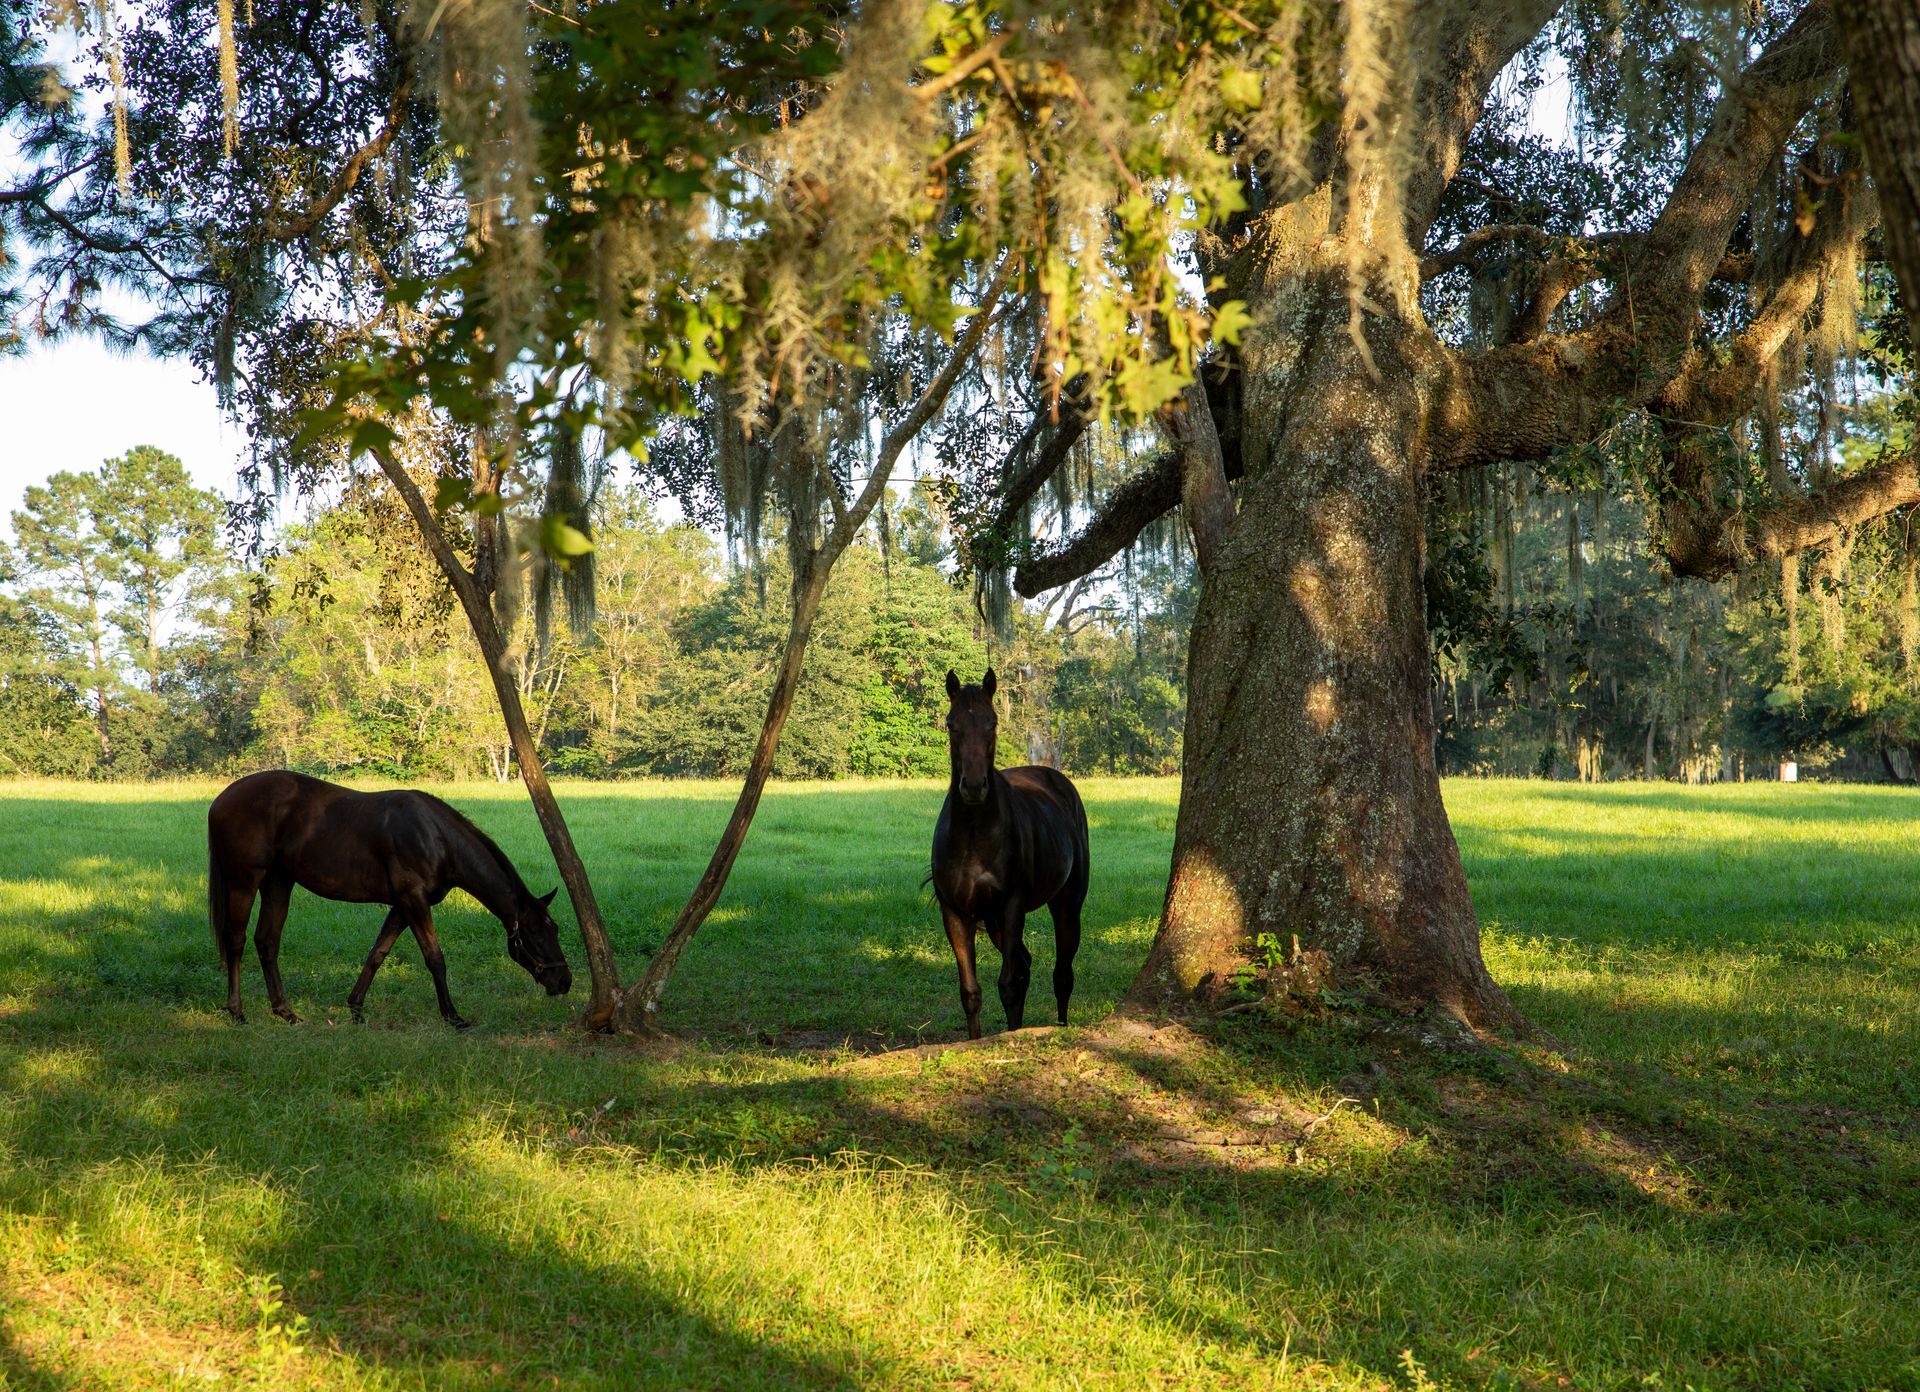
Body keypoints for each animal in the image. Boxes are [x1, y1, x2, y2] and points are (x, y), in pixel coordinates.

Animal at [210, 764, 572, 1029]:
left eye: (554, 929)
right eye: (535, 933)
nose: (564, 981)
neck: (436, 838)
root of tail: (220, 801)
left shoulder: (401, 906)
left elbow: (377, 953)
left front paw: (356, 1008)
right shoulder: (414, 901)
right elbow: (435, 959)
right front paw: (453, 1016)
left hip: (279, 883)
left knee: (267, 942)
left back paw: (285, 1012)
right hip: (245, 880)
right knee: (236, 941)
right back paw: (237, 1011)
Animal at [933, 668, 1090, 1036]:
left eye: (991, 723)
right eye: (951, 723)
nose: (974, 787)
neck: (973, 838)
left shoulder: (1012, 905)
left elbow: (1008, 984)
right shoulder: (955, 913)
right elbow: (971, 992)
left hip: (1066, 906)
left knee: (1061, 975)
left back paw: (1059, 1026)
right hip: (993, 922)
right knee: (1026, 965)